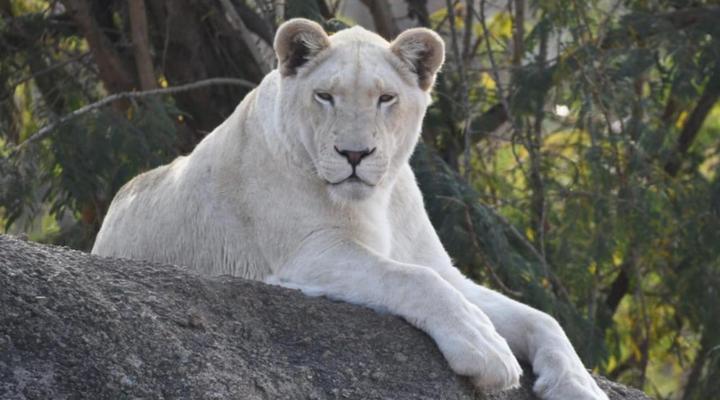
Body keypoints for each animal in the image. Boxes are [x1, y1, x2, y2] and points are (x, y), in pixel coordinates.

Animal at [92, 19, 608, 399]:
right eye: (325, 96)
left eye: (386, 98)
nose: (354, 154)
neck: (377, 201)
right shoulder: (309, 254)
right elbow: (412, 279)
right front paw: (485, 349)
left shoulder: (447, 270)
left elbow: (540, 317)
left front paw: (578, 386)